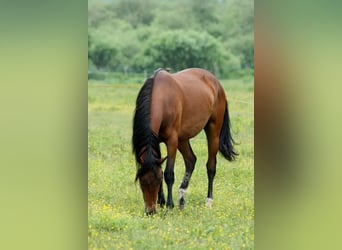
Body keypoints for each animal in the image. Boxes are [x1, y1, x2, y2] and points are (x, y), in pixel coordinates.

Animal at [132, 67, 238, 214]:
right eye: (141, 182)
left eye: (158, 180)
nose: (150, 211)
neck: (162, 97)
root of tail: (216, 83)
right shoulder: (156, 141)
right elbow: (161, 167)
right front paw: (162, 202)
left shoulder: (172, 140)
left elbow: (168, 173)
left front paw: (168, 206)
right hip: (183, 139)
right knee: (191, 160)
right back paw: (181, 199)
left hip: (213, 132)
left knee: (211, 166)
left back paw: (208, 201)